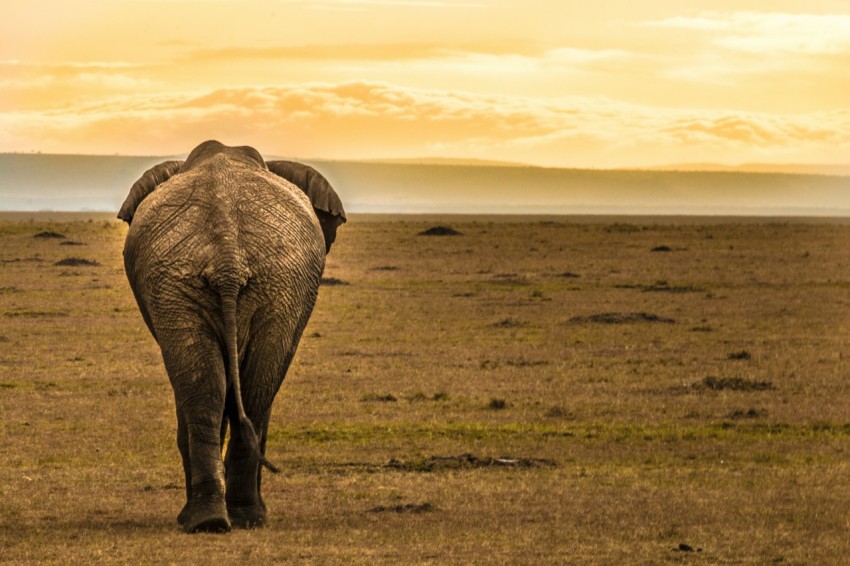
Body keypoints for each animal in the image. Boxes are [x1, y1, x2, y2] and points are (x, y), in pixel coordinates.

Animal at [117, 140, 346, 536]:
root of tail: (227, 255)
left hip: (265, 284)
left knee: (230, 392)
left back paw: (219, 519)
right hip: (230, 284)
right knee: (236, 392)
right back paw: (225, 519)